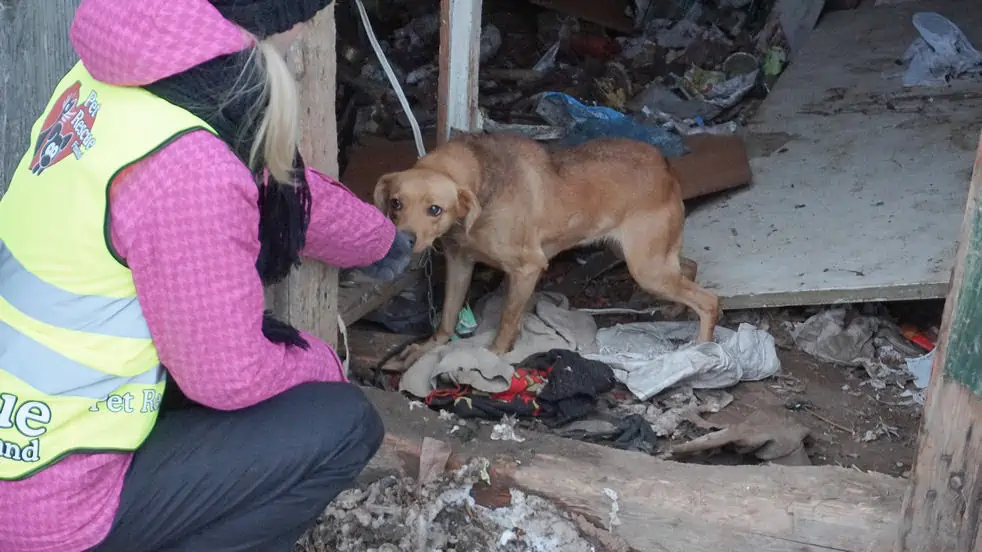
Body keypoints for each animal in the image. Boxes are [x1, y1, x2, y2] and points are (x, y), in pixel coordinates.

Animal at [373, 132, 720, 371]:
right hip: (637, 255)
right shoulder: (459, 261)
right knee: (690, 267)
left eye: (435, 209)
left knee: (709, 300)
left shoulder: (527, 268)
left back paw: (701, 354)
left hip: (646, 267)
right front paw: (426, 348)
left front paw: (492, 356)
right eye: (396, 203)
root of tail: (664, 165)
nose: (402, 240)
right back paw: (675, 311)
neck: (482, 177)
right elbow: (446, 317)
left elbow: (507, 320)